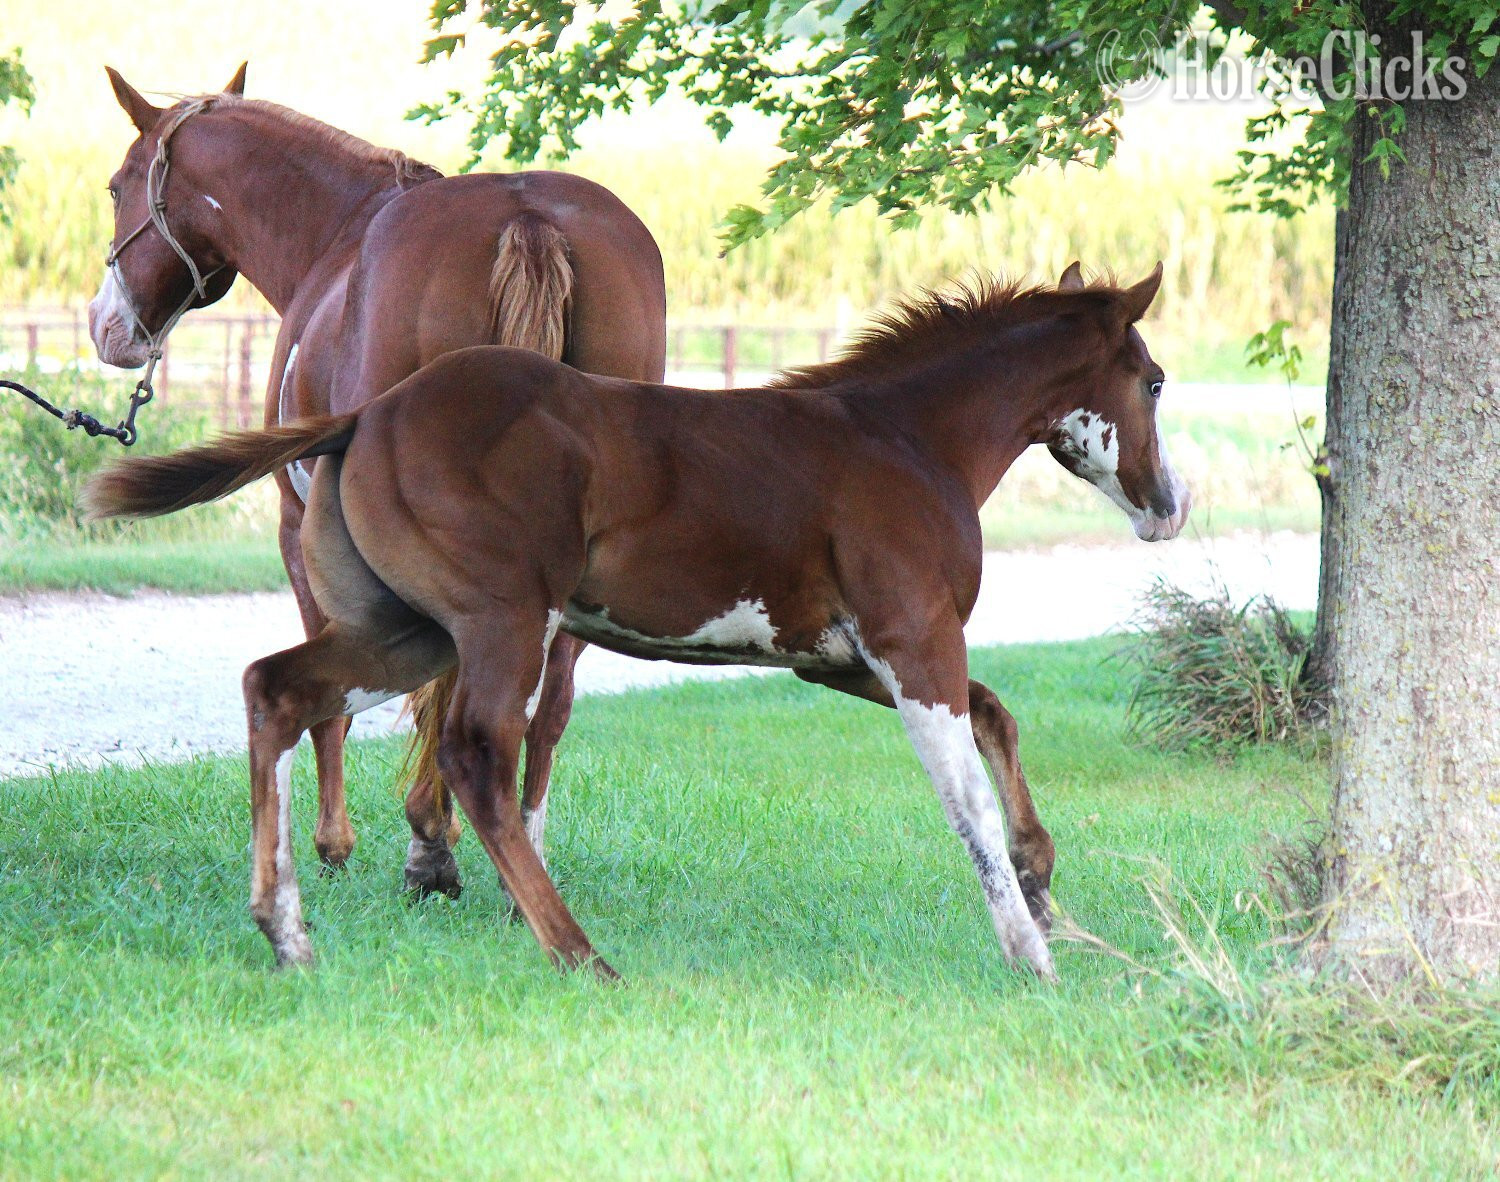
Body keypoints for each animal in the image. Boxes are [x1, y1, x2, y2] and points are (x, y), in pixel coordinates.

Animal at [86, 263, 1189, 981]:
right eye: (1153, 380)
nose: (1168, 505)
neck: (906, 439)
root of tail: (369, 415)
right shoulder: (914, 643)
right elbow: (963, 801)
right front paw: (1032, 952)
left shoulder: (836, 657)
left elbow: (998, 715)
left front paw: (1043, 880)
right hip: (502, 620)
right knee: (476, 754)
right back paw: (578, 952)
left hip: (409, 631)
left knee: (278, 690)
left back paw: (286, 932)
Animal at [87, 65, 667, 899]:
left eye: (115, 188)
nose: (106, 327)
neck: (339, 234)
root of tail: (528, 220)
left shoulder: (298, 528)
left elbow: (332, 693)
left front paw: (337, 843)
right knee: (547, 699)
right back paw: (514, 853)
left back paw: (432, 847)